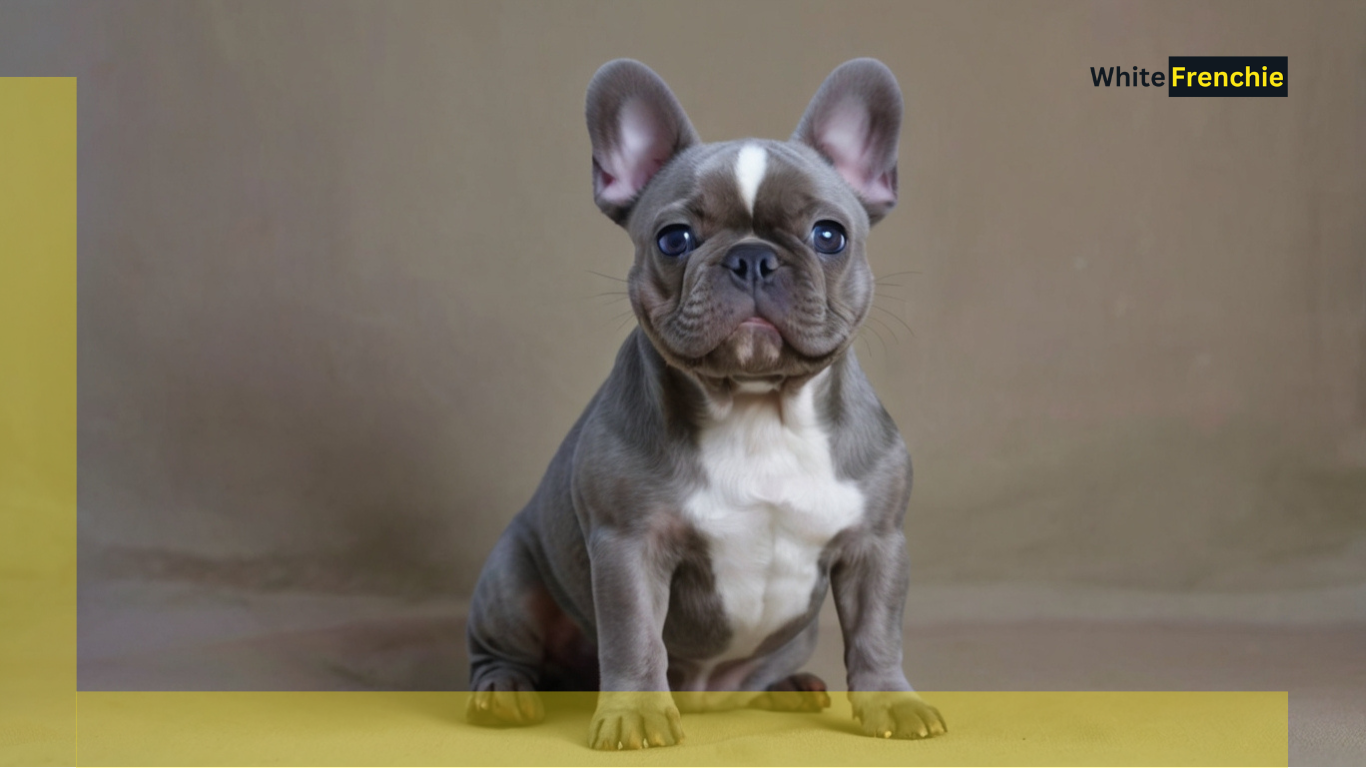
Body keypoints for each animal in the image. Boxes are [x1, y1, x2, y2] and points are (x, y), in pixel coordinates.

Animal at [464, 58, 945, 748]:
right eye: (674, 239)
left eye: (829, 235)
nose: (752, 257)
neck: (756, 407)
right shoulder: (629, 545)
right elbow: (635, 636)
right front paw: (635, 716)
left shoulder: (876, 544)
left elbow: (878, 630)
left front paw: (893, 703)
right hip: (512, 582)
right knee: (501, 648)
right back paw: (502, 692)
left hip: (797, 636)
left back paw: (789, 686)